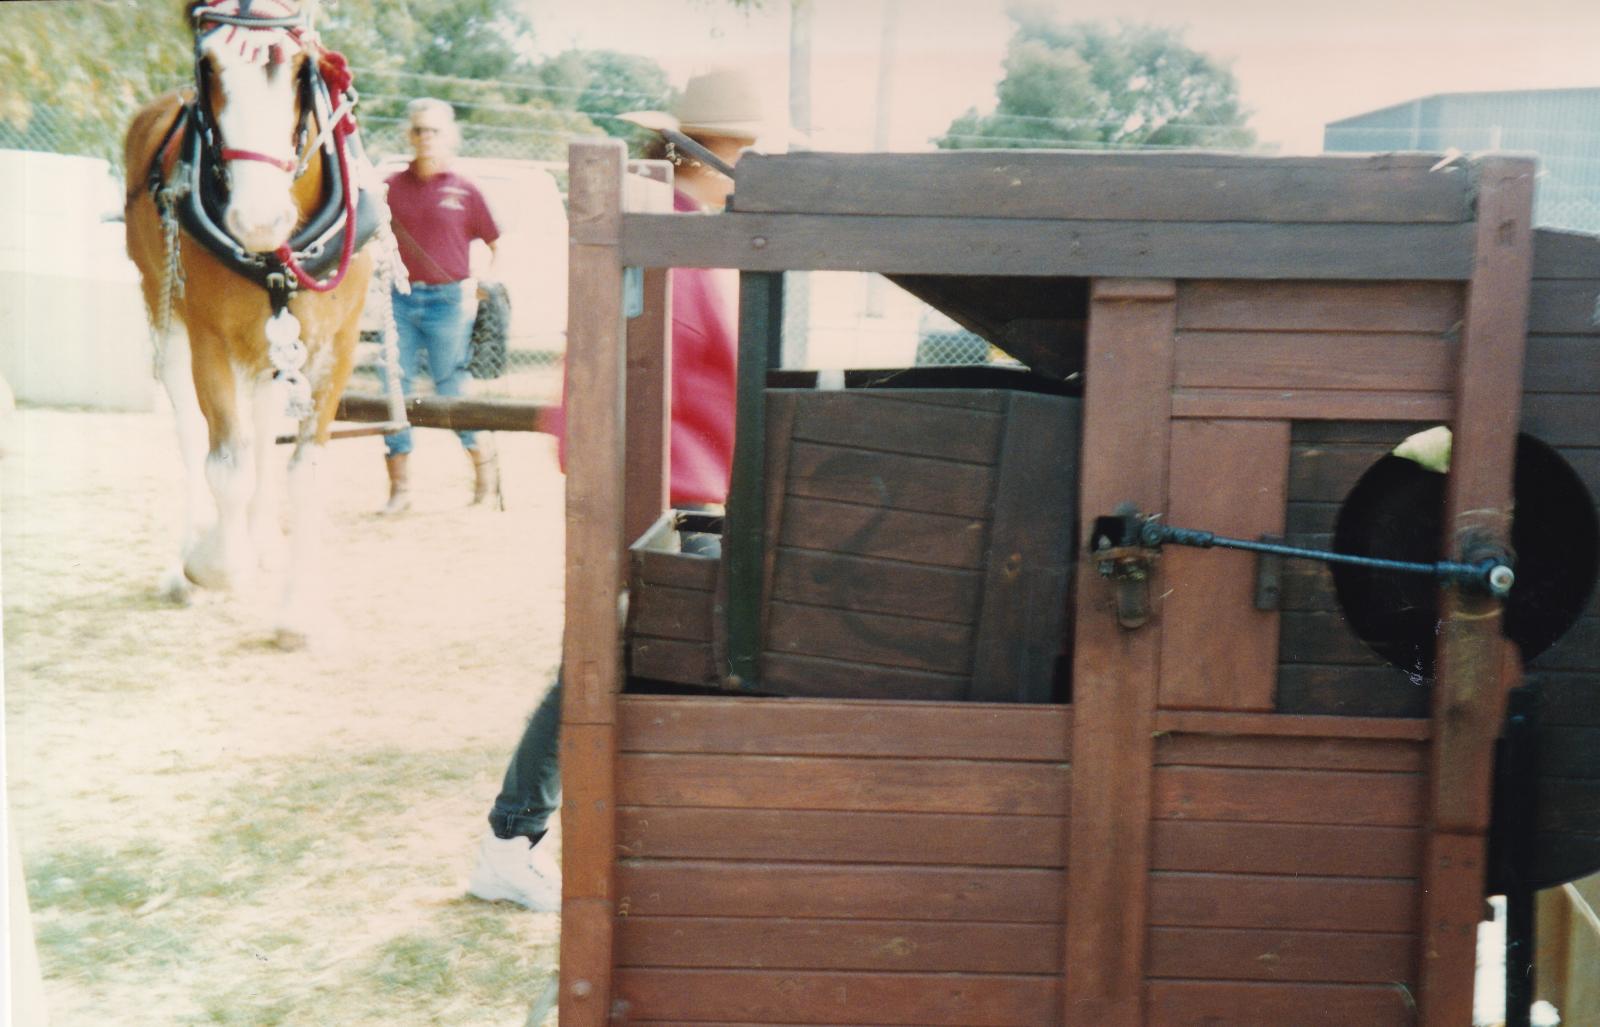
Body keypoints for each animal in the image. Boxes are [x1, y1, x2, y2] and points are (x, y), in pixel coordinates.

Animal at [124, 0, 377, 643]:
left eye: (301, 68)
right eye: (208, 67)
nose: (259, 219)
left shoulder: (335, 347)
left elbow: (304, 470)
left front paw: (296, 611)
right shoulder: (210, 339)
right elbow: (227, 464)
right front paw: (213, 562)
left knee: (262, 423)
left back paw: (259, 541)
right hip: (163, 311)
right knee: (191, 429)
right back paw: (188, 562)